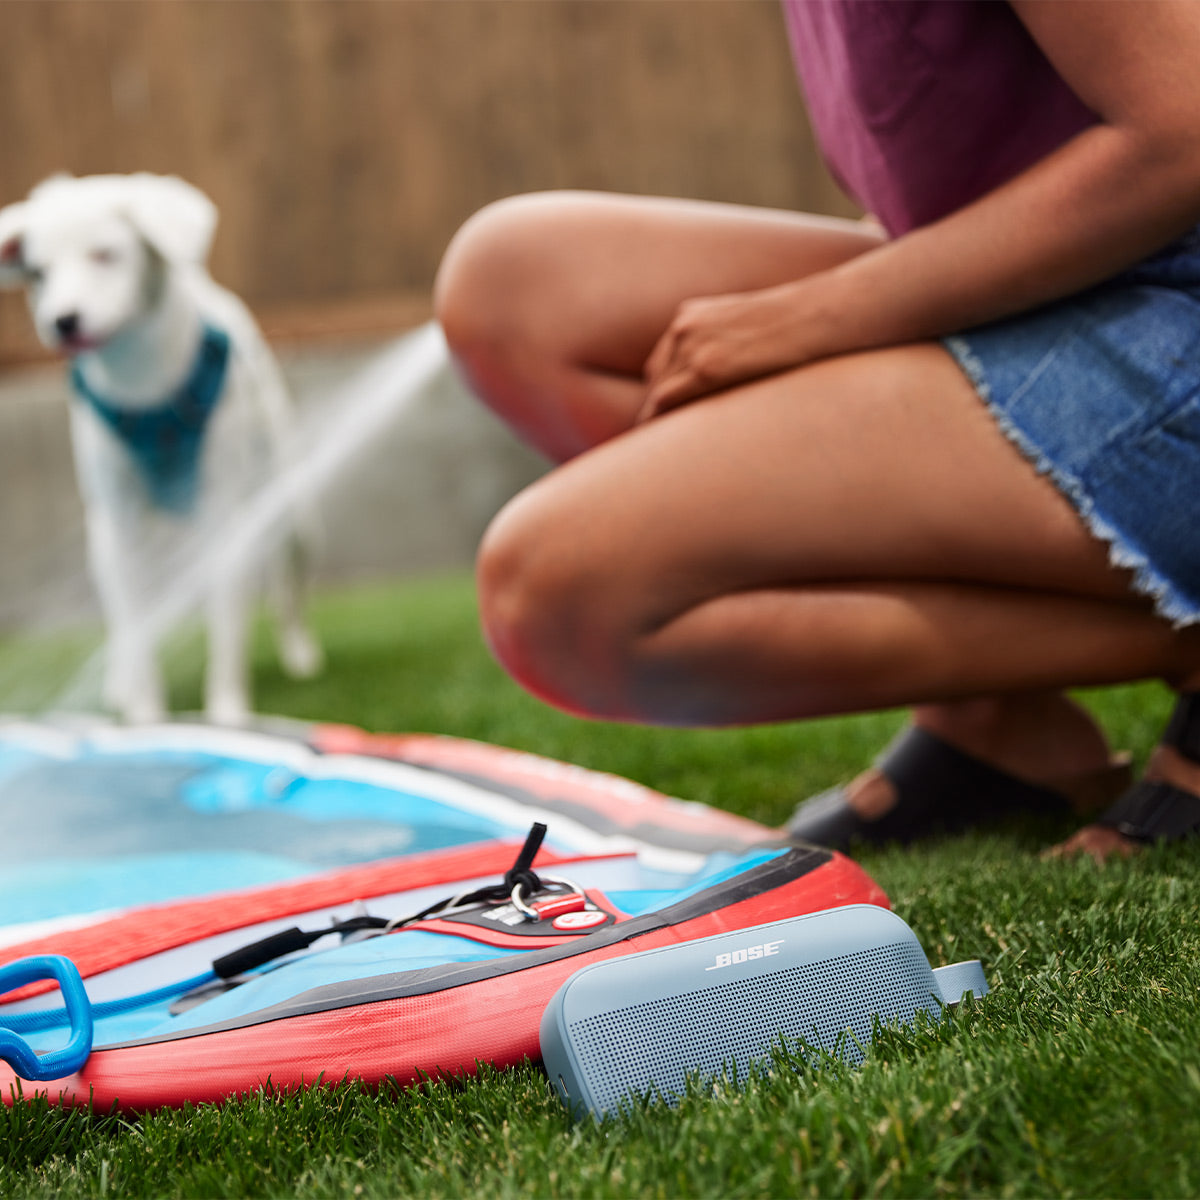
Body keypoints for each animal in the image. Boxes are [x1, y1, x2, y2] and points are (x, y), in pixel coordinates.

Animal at [0, 174, 321, 724]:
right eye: (38, 273)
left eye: (105, 254)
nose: (63, 320)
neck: (142, 384)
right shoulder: (120, 523)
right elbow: (136, 627)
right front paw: (144, 716)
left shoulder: (224, 512)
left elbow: (226, 626)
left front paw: (227, 715)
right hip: (103, 545)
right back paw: (118, 684)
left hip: (291, 508)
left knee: (285, 590)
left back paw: (300, 655)